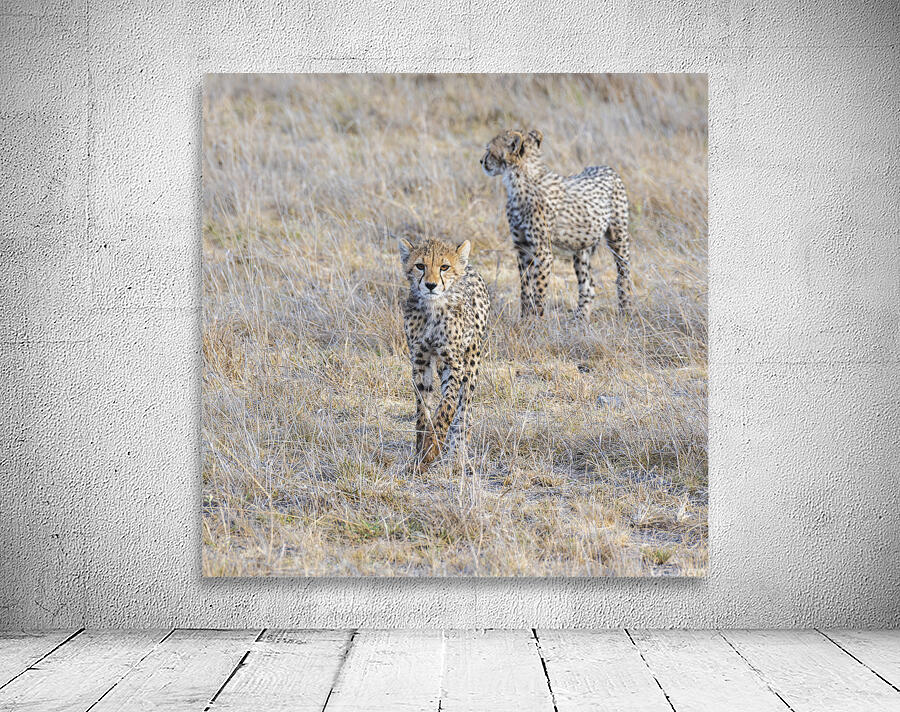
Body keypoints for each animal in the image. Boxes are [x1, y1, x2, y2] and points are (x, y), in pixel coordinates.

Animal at [399, 235, 490, 470]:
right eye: (420, 266)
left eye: (444, 267)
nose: (431, 285)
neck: (433, 308)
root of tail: (469, 266)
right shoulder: (420, 362)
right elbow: (423, 410)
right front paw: (422, 451)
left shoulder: (454, 363)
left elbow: (447, 406)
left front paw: (434, 447)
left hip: (472, 360)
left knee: (464, 407)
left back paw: (457, 448)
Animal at [481, 128, 633, 319]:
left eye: (489, 150)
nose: (481, 161)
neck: (519, 179)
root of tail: (606, 167)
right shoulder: (522, 247)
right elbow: (525, 287)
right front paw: (524, 319)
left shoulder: (542, 251)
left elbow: (538, 290)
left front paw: (536, 321)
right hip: (581, 248)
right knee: (588, 286)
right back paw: (579, 319)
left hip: (618, 237)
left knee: (624, 274)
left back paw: (625, 312)